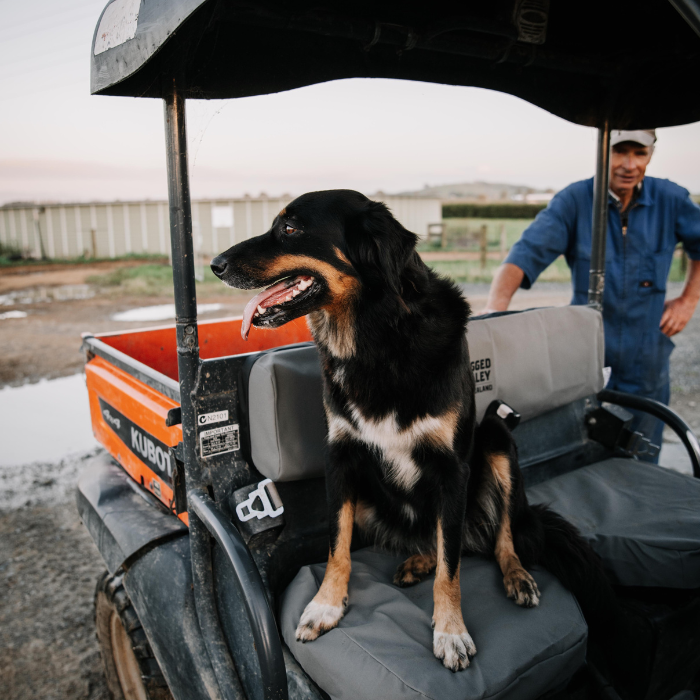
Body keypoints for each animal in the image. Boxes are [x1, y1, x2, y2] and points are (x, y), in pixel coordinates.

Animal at [211, 190, 616, 672]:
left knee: (497, 537)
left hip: (497, 439)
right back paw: (415, 562)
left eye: (290, 228)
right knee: (435, 540)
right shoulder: (340, 458)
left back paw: (516, 576)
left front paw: (451, 631)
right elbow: (337, 545)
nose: (214, 264)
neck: (378, 337)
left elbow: (451, 568)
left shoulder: (452, 469)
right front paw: (326, 605)